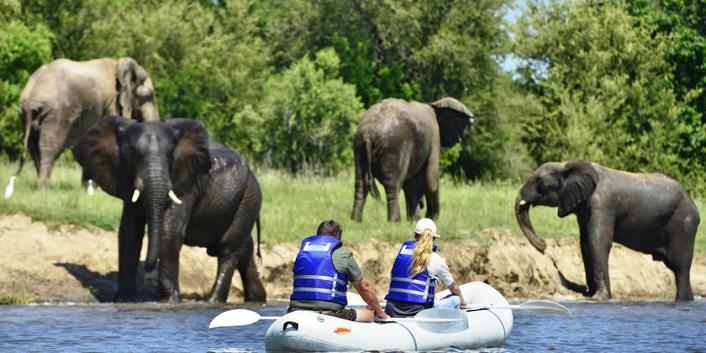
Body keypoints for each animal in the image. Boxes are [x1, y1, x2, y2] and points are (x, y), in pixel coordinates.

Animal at [18, 56, 159, 186]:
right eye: (149, 96)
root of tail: (31, 98)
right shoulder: (112, 103)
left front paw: (87, 188)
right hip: (57, 114)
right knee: (50, 146)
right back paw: (44, 186)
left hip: (25, 115)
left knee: (34, 148)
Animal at [73, 114, 266, 302]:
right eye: (131, 156)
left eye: (171, 157)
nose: (148, 268)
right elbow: (129, 232)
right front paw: (123, 300)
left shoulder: (186, 185)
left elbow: (169, 232)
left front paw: (170, 301)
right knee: (244, 249)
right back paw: (257, 299)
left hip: (249, 198)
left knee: (227, 250)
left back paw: (212, 302)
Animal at [512, 160, 700, 300]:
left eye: (540, 183)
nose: (543, 245)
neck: (567, 165)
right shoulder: (584, 208)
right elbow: (585, 244)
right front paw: (591, 296)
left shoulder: (602, 204)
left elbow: (597, 242)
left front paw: (599, 298)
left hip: (684, 225)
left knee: (680, 268)